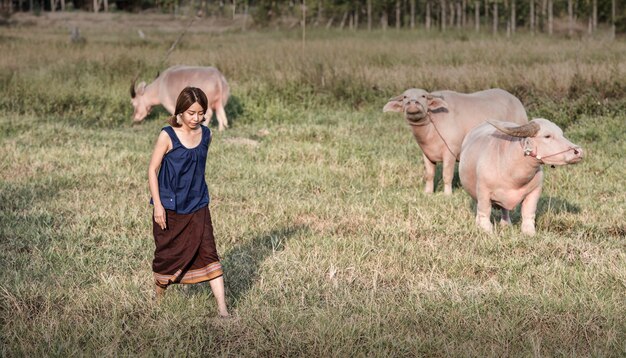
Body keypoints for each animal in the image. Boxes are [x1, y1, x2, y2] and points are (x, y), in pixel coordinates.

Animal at [456, 118, 584, 235]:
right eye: (547, 136)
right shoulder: (483, 192)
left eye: (561, 134)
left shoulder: (534, 192)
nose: (578, 151)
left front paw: (529, 232)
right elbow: (484, 211)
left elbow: (528, 212)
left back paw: (506, 224)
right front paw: (486, 230)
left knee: (505, 211)